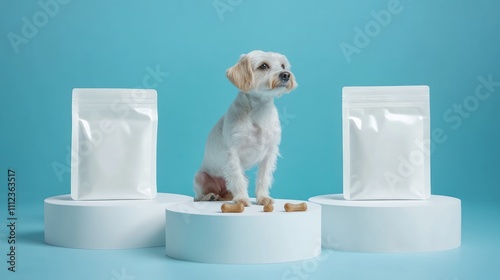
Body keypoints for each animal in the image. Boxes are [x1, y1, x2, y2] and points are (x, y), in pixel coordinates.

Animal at [194, 50, 296, 206]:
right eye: (263, 66)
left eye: (283, 65)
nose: (286, 74)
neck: (259, 111)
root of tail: (221, 191)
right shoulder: (233, 152)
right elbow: (237, 178)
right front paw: (242, 199)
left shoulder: (270, 152)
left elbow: (263, 177)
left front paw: (263, 197)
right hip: (200, 177)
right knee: (198, 195)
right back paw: (209, 196)